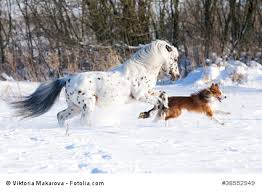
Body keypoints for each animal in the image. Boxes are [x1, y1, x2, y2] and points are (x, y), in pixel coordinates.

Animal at [12, 39, 180, 127]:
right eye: (175, 58)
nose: (177, 76)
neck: (143, 67)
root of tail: (67, 79)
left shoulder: (150, 91)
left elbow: (163, 95)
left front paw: (157, 115)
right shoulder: (141, 95)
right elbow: (158, 101)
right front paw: (153, 114)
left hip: (74, 107)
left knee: (61, 115)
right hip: (87, 105)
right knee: (82, 120)